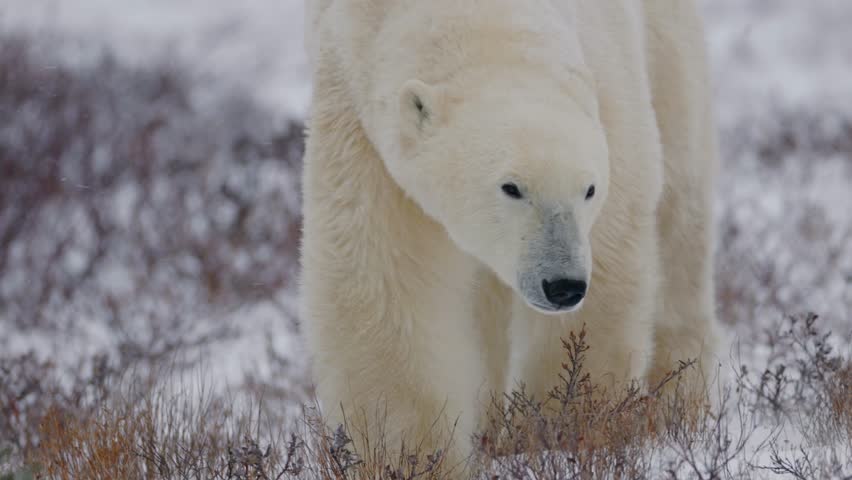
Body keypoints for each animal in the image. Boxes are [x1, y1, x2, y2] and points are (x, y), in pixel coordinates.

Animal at [300, 0, 721, 470]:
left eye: (589, 189)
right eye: (511, 187)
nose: (563, 285)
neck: (479, 17)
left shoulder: (609, 86)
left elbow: (610, 264)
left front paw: (561, 429)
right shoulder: (357, 114)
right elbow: (383, 280)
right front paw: (406, 455)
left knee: (681, 213)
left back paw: (679, 404)